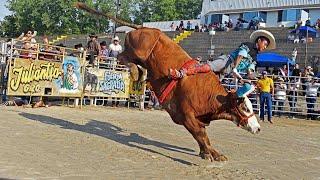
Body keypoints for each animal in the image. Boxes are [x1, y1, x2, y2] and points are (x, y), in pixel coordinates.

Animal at [76, 2, 262, 161]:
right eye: (245, 108)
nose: (258, 128)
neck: (210, 96)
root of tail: (144, 28)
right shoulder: (187, 117)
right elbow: (201, 136)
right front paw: (212, 154)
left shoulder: (197, 119)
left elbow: (203, 137)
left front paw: (210, 153)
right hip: (137, 52)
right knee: (122, 57)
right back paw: (136, 72)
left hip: (142, 58)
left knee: (133, 62)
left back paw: (141, 74)